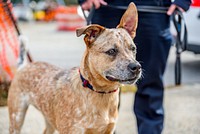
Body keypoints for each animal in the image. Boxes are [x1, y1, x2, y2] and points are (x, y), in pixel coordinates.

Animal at [7, 2, 141, 134]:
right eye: (112, 51)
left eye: (133, 48)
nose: (137, 67)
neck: (100, 93)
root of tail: (24, 66)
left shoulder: (109, 130)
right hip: (16, 117)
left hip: (49, 119)